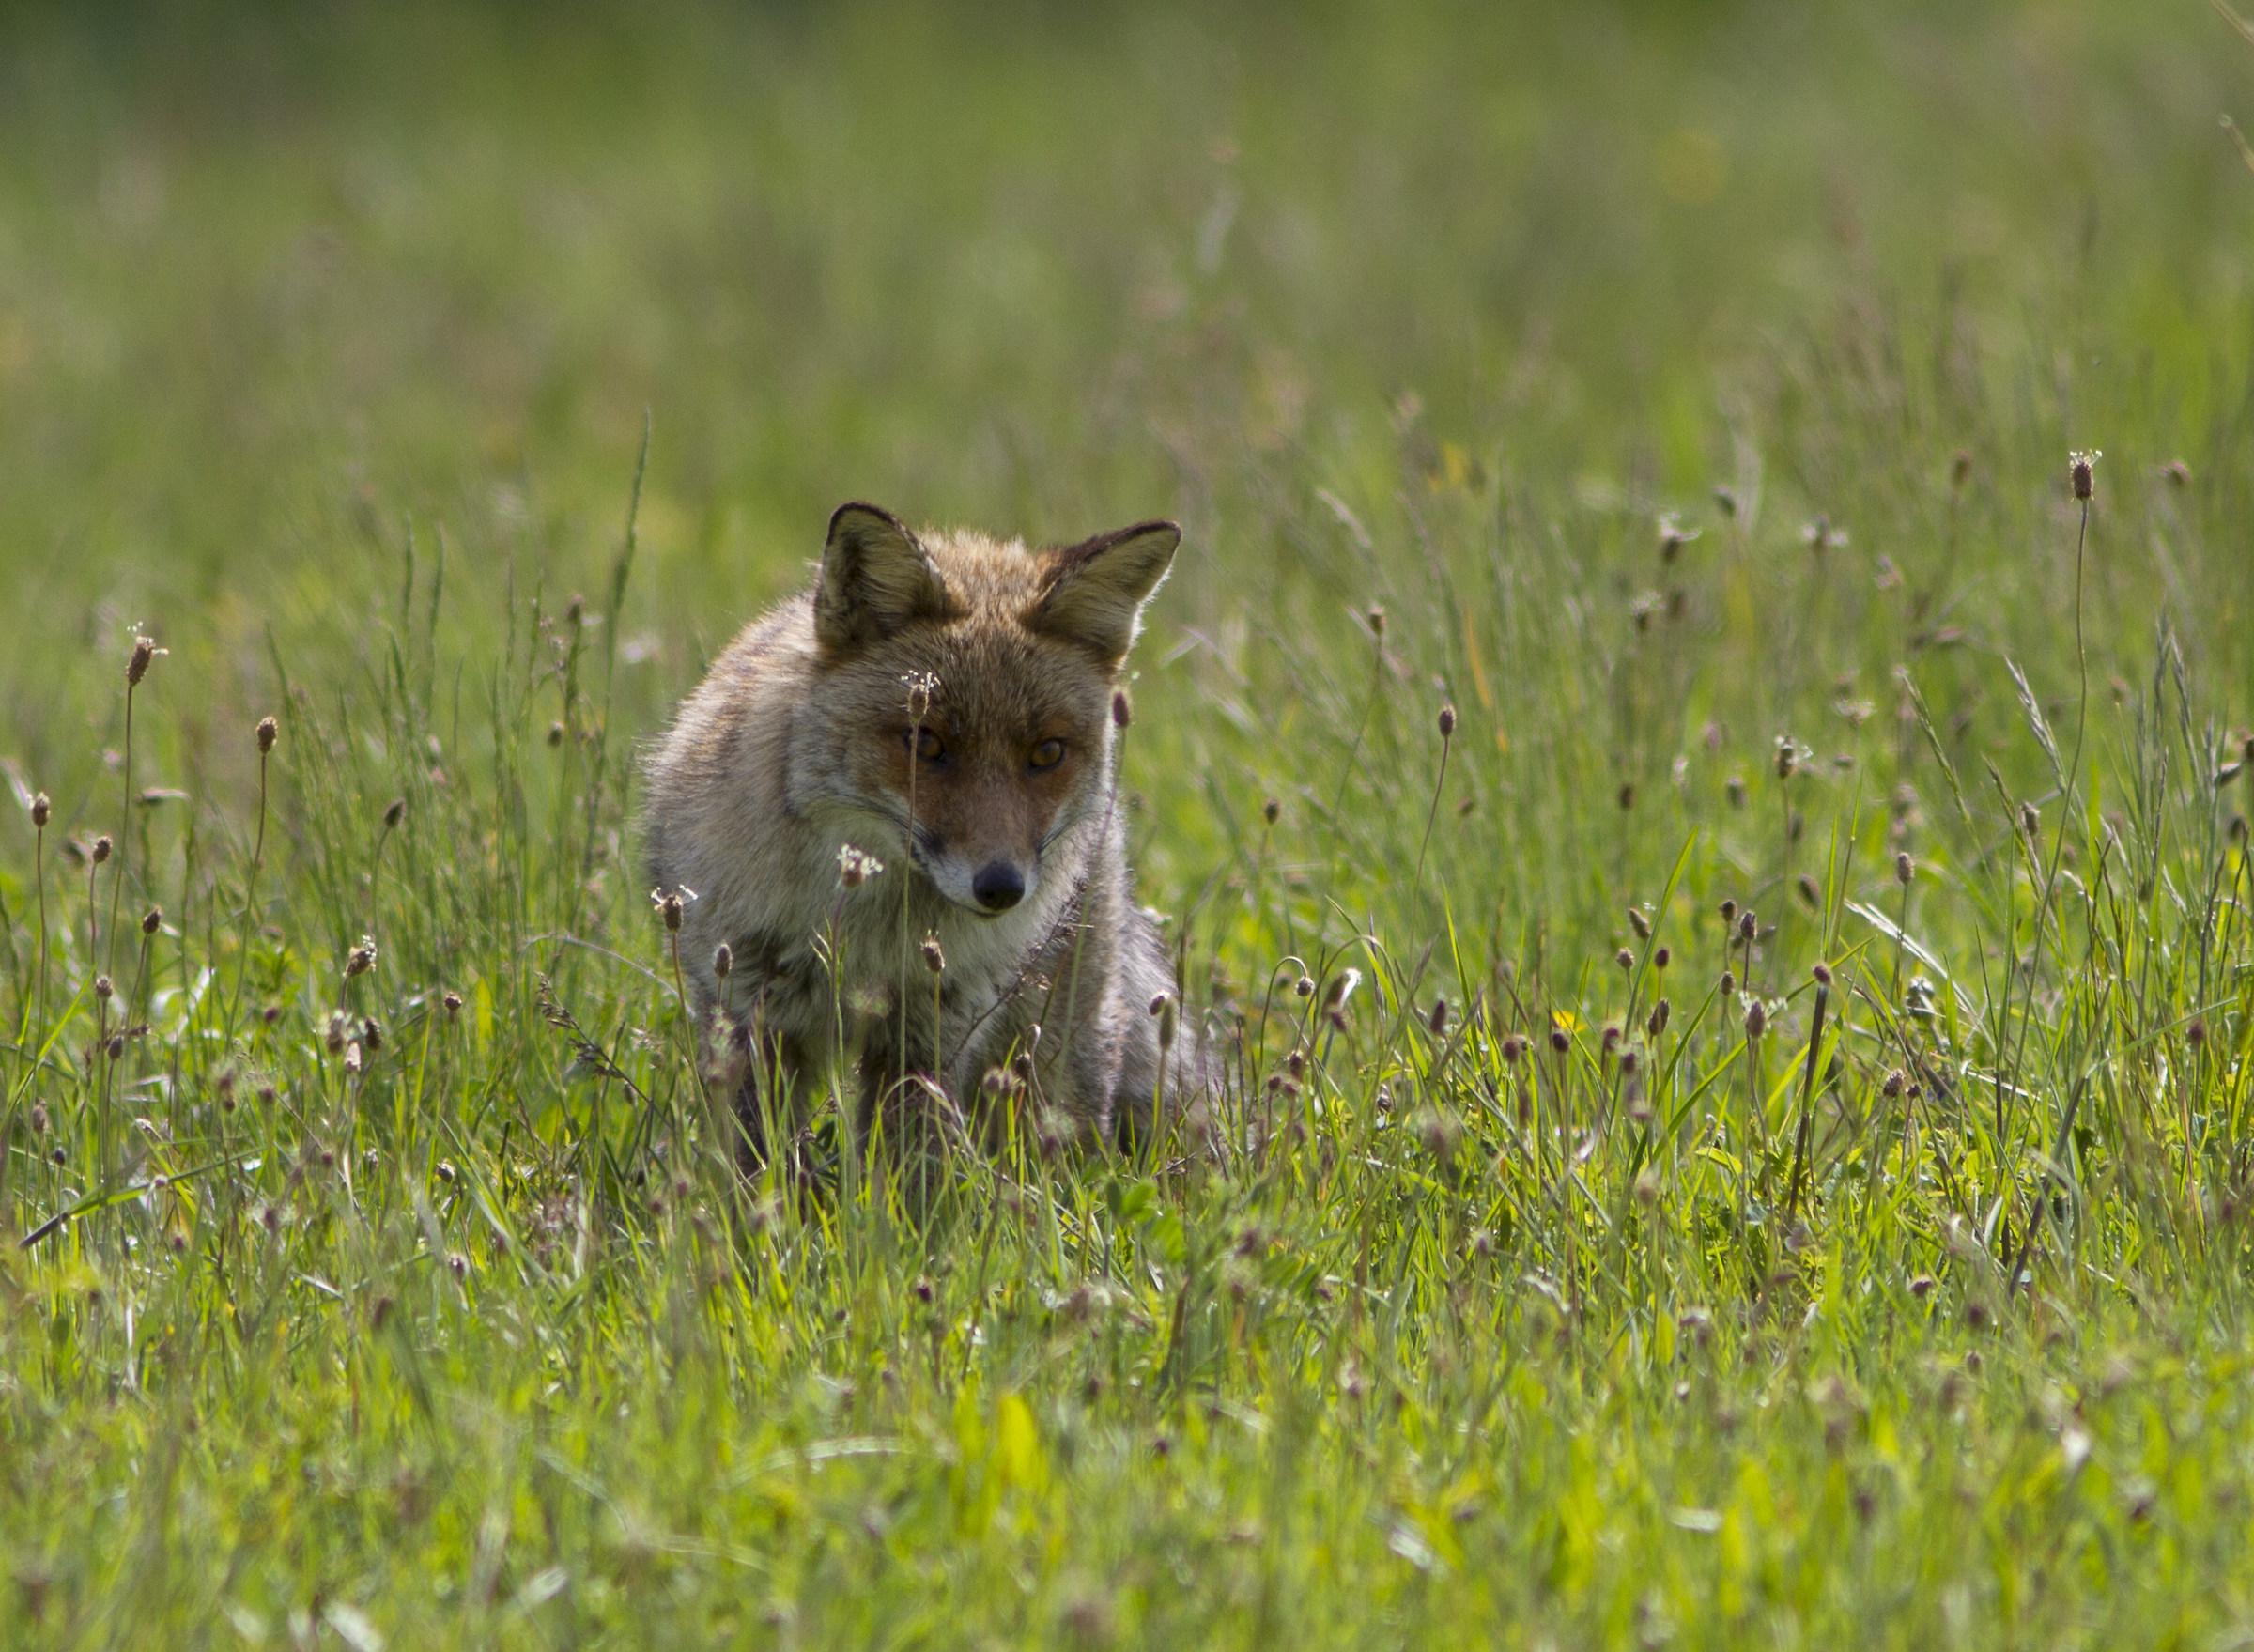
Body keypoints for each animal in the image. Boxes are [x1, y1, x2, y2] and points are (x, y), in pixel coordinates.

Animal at [641, 500, 1209, 1164]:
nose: (1001, 887)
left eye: (1047, 753)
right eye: (925, 742)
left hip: (1050, 1055)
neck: (865, 935)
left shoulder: (929, 1035)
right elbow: (754, 1164)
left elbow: (910, 1175)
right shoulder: (750, 1016)